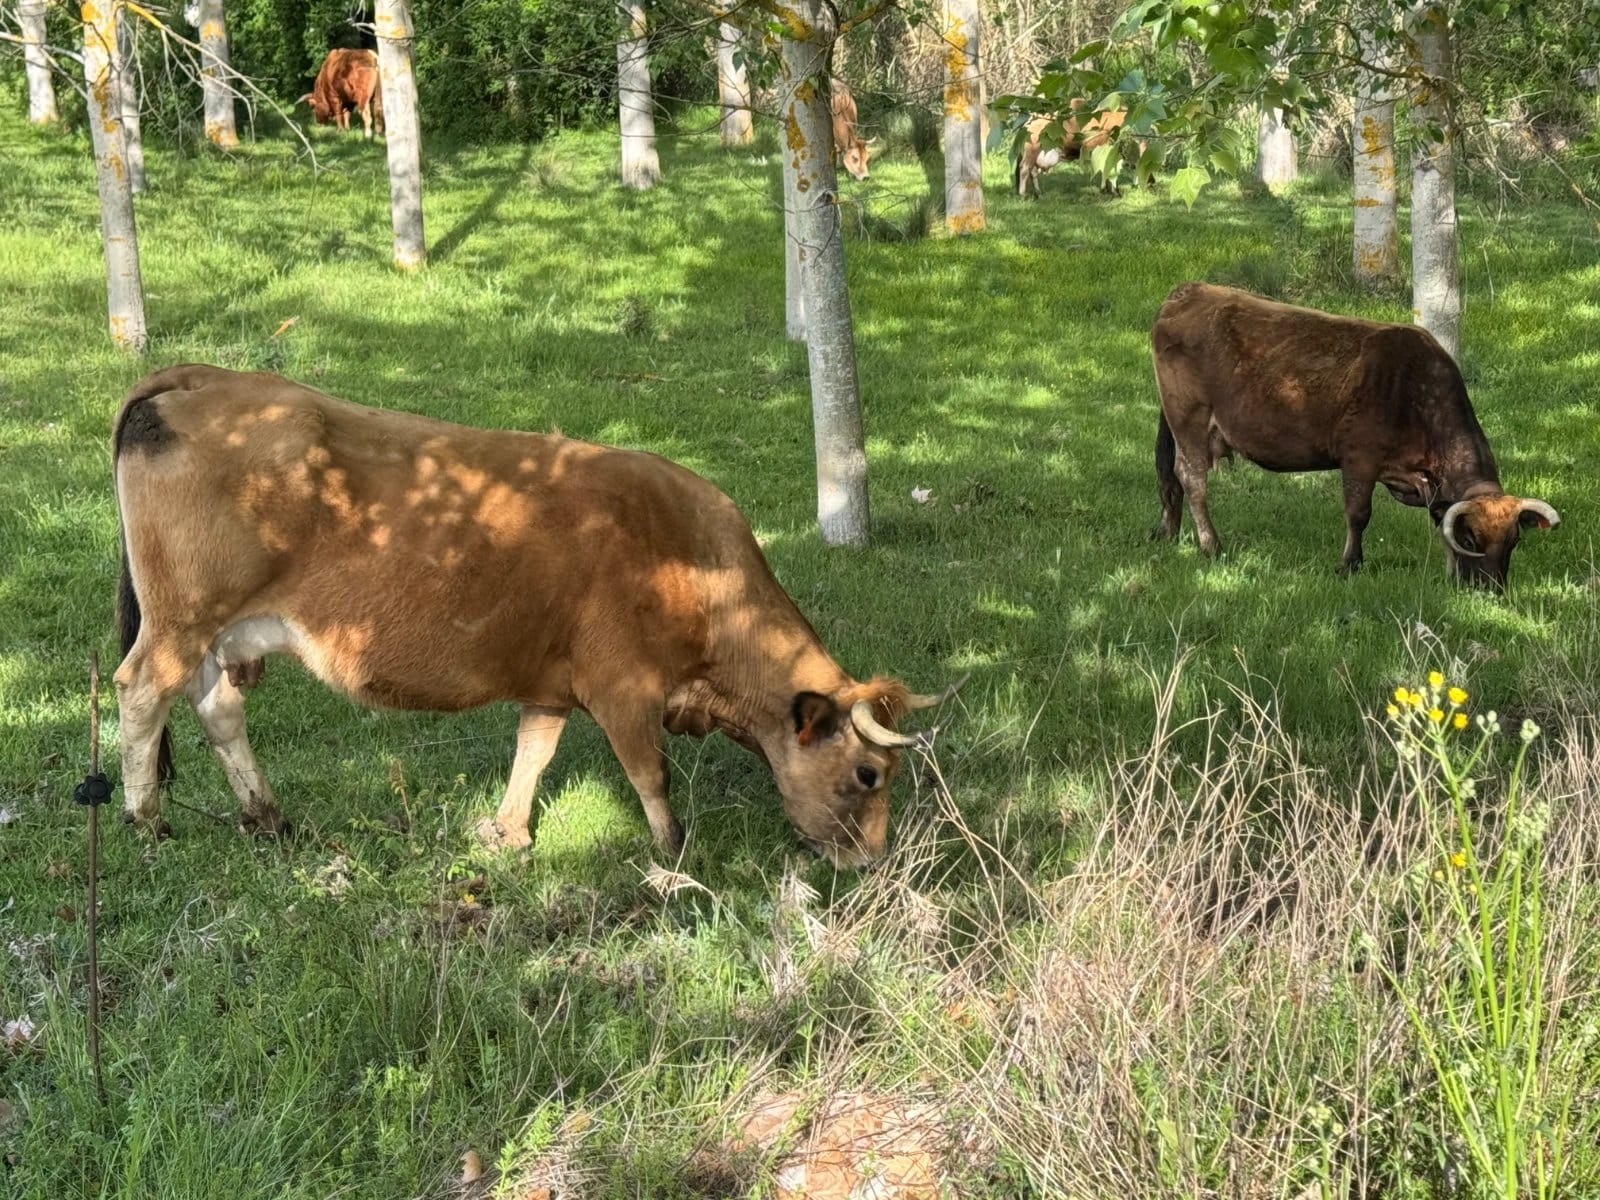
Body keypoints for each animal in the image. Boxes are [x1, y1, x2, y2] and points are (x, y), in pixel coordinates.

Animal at [111, 366, 961, 868]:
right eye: (868, 773)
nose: (873, 861)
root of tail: (204, 378)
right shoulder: (622, 685)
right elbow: (649, 772)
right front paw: (674, 851)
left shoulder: (552, 682)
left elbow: (534, 753)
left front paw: (510, 831)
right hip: (181, 620)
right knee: (140, 692)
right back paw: (147, 821)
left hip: (220, 634)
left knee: (218, 709)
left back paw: (267, 817)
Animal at [1150, 282, 1560, 590]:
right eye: (1473, 540)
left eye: (1513, 542)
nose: (1493, 591)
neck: (1416, 392)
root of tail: (1187, 292)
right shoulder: (1359, 459)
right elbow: (1359, 514)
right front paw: (1350, 564)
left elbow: (1439, 520)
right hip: (1188, 419)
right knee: (1191, 478)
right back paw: (1211, 545)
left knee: (1170, 477)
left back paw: (1169, 531)